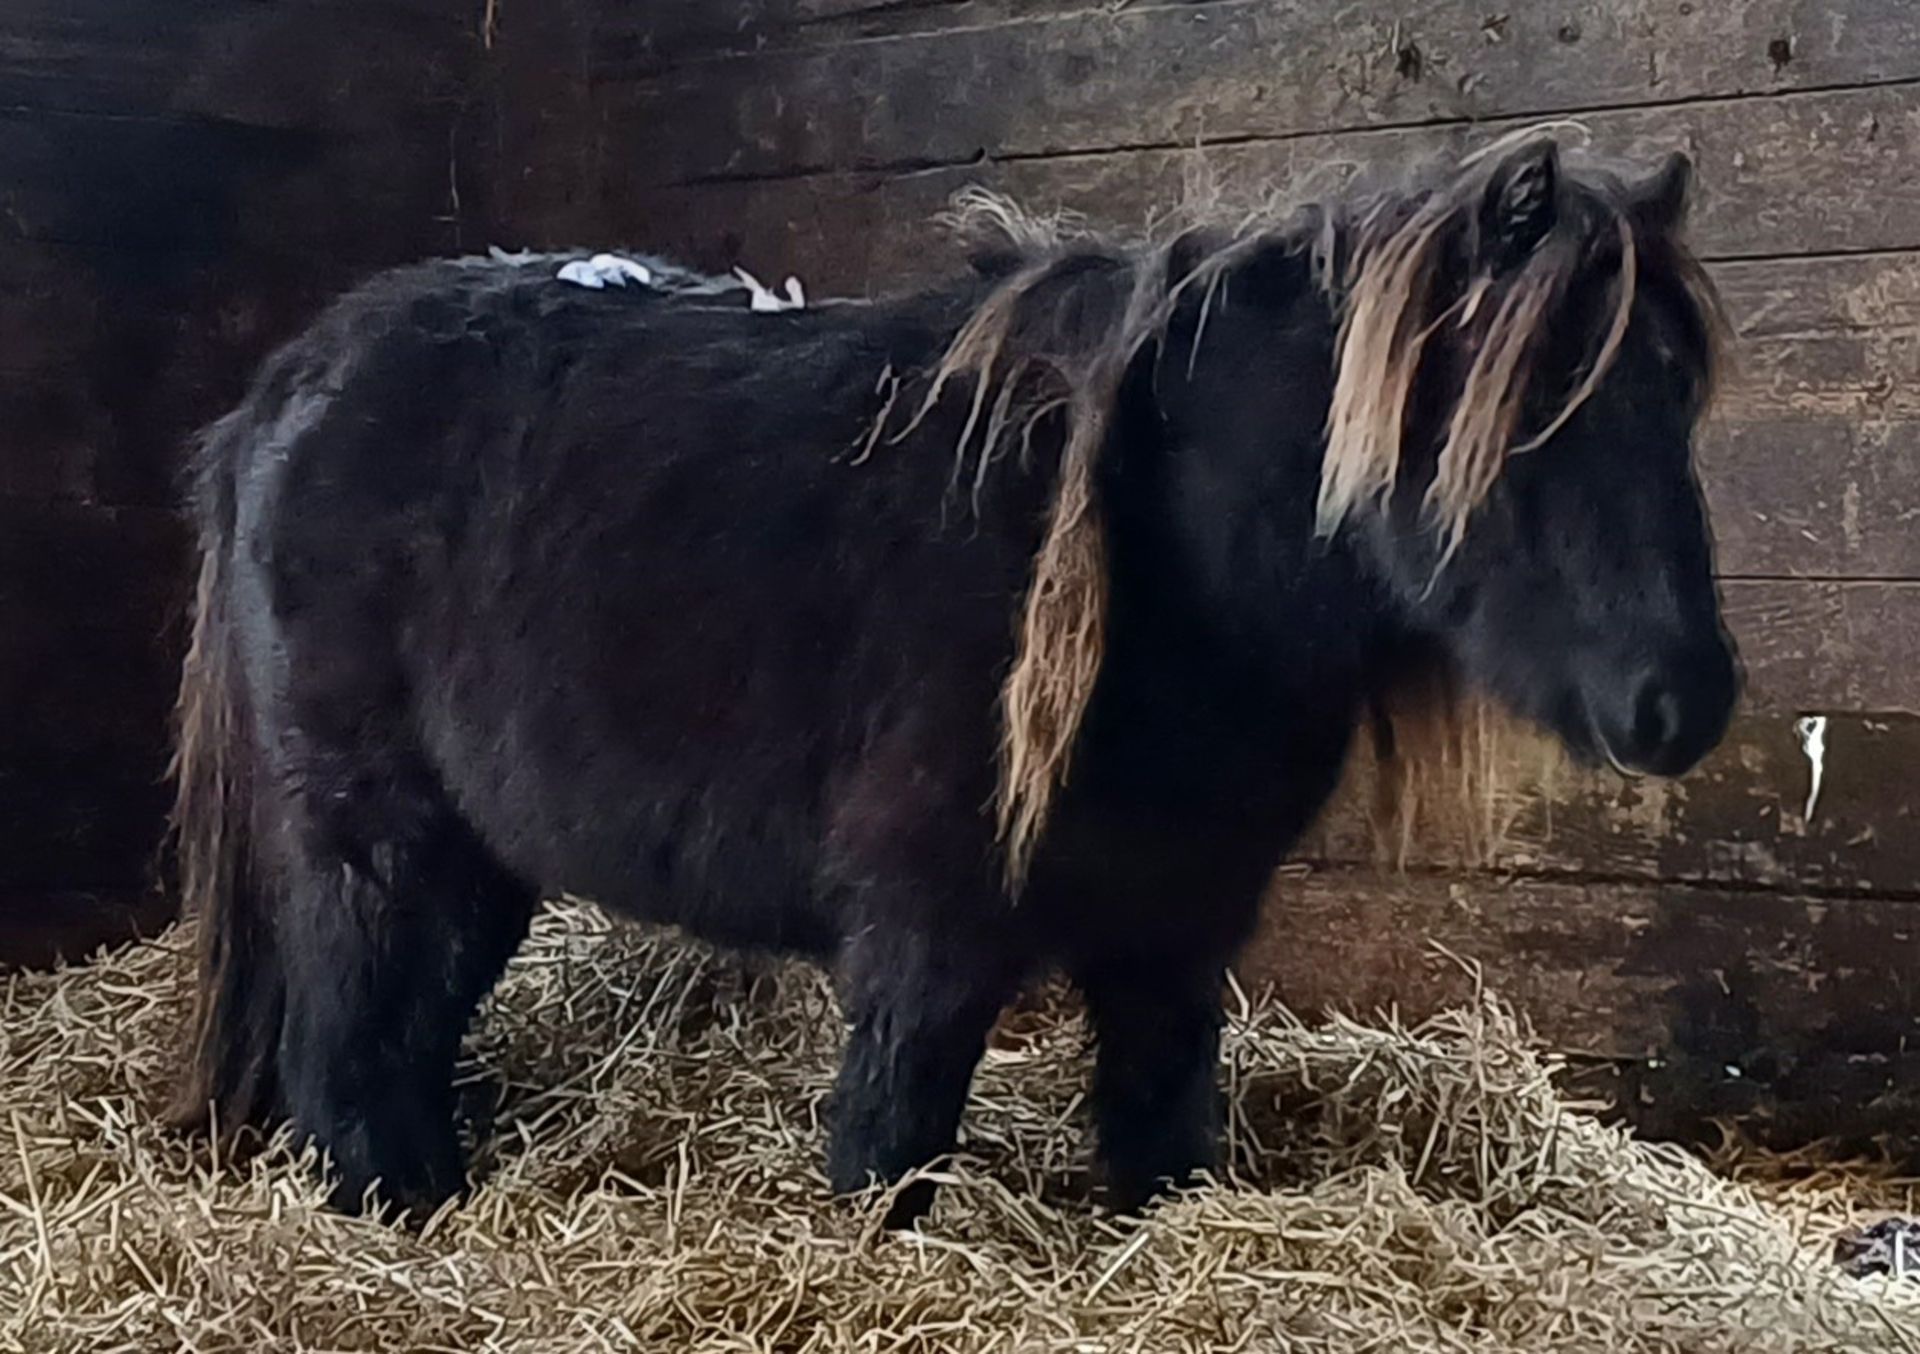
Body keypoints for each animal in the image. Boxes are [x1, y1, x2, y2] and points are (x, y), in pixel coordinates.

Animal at [172, 134, 1743, 1213]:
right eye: (1532, 409)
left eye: (1678, 396)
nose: (1686, 699)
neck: (1158, 564)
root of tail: (286, 389)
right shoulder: (927, 935)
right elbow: (890, 1148)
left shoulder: (1177, 935)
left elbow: (1164, 1136)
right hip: (377, 834)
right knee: (347, 1053)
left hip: (478, 853)